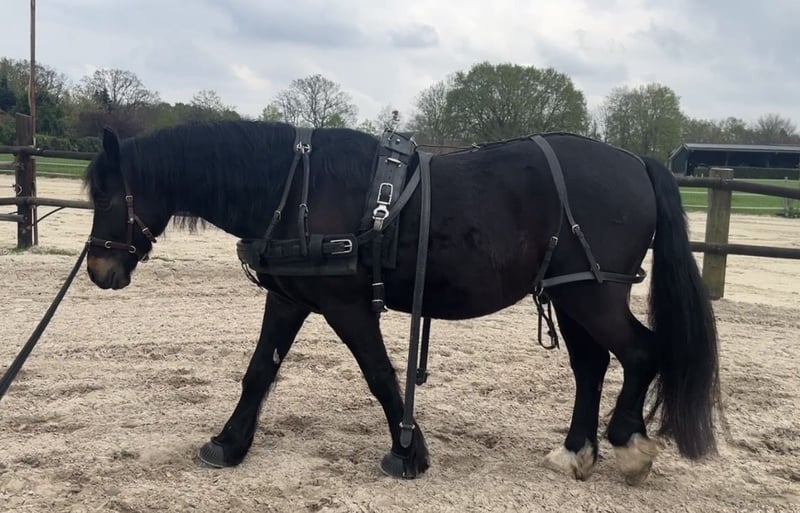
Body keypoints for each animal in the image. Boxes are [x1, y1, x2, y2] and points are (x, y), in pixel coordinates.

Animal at [83, 120, 720, 486]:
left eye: (108, 196)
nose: (98, 270)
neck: (298, 189)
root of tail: (636, 162)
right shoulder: (290, 299)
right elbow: (259, 371)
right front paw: (229, 443)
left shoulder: (346, 305)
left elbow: (380, 375)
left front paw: (408, 453)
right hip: (572, 292)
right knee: (591, 366)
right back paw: (575, 453)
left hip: (594, 293)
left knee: (642, 353)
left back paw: (629, 446)